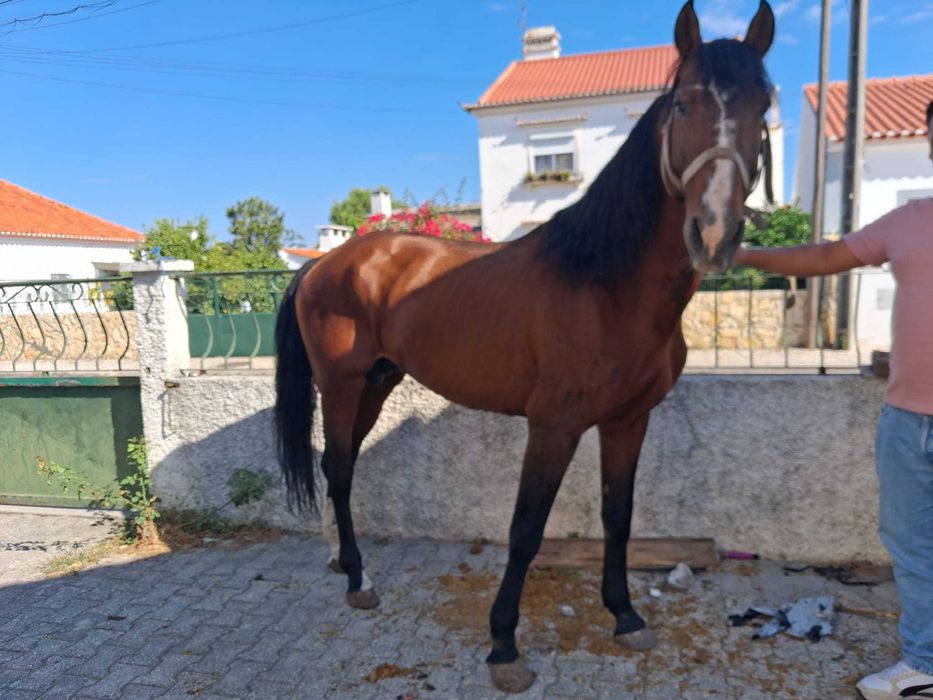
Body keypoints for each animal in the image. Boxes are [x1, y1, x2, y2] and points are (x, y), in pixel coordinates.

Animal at [274, 1, 775, 692]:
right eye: (682, 104)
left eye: (764, 105)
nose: (715, 231)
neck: (605, 283)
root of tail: (326, 262)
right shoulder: (553, 425)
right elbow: (526, 529)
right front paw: (504, 645)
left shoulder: (629, 421)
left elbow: (618, 518)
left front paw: (625, 615)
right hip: (343, 385)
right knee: (341, 469)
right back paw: (359, 578)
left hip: (378, 382)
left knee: (335, 470)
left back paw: (340, 563)